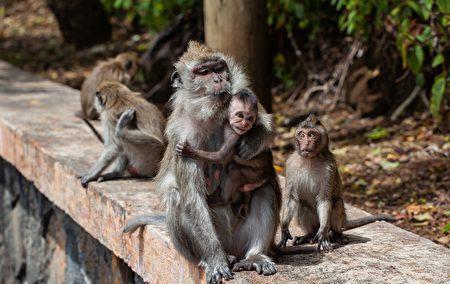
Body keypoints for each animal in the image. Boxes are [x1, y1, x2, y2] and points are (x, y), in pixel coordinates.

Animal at [177, 87, 274, 216]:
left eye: (250, 118)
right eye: (240, 115)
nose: (245, 124)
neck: (228, 124)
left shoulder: (233, 135)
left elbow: (221, 157)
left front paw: (188, 151)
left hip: (256, 176)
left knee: (236, 173)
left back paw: (225, 199)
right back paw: (245, 199)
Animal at [278, 113, 394, 251]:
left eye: (312, 135)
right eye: (302, 135)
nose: (306, 143)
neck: (310, 160)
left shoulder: (330, 166)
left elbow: (325, 198)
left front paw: (323, 233)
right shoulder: (291, 164)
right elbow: (291, 197)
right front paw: (284, 229)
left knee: (336, 203)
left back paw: (336, 235)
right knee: (302, 204)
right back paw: (308, 235)